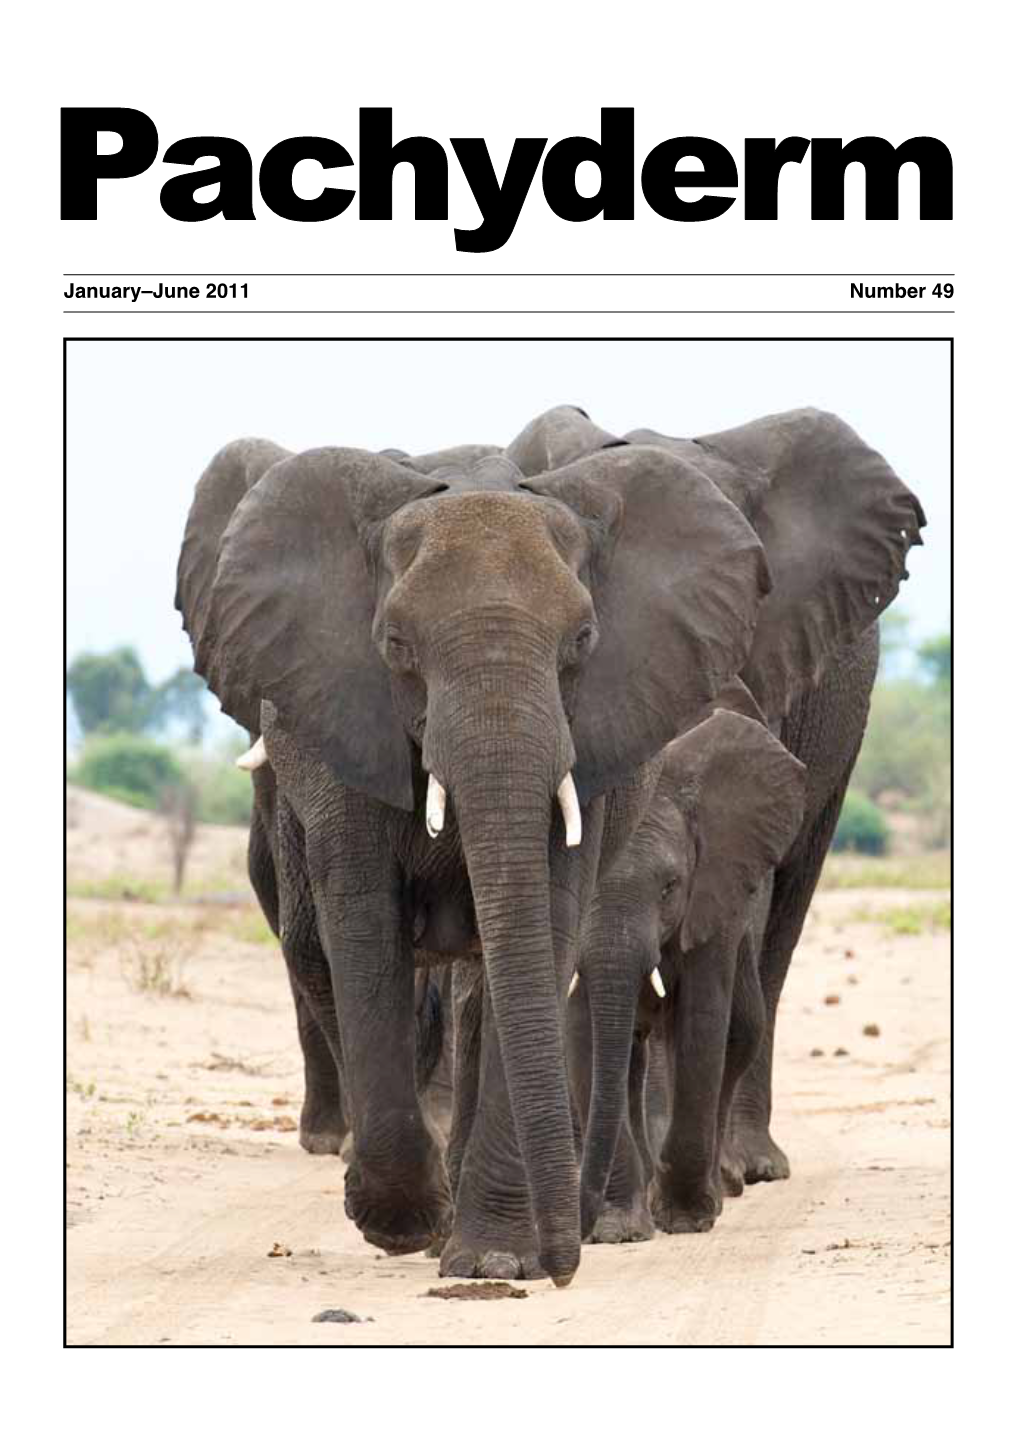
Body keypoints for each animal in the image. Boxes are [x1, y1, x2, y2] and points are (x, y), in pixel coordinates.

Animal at [175, 425, 770, 1280]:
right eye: (395, 644)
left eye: (582, 641)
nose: (568, 1262)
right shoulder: (346, 723)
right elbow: (362, 923)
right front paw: (403, 1224)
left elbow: (540, 924)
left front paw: (491, 1262)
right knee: (323, 954)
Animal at [570, 703, 811, 1245]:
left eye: (670, 887)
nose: (582, 1225)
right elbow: (583, 1031)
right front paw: (619, 1231)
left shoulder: (713, 895)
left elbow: (701, 1023)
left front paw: (685, 1220)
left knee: (739, 1034)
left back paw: (718, 1189)